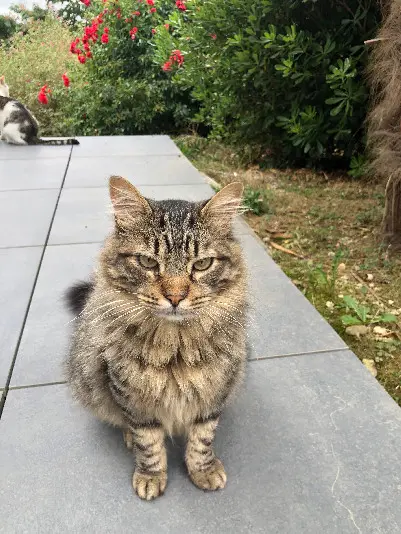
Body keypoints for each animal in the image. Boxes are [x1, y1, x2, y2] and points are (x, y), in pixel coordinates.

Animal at [65, 178, 247, 500]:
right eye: (147, 262)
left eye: (202, 264)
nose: (175, 297)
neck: (176, 346)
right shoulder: (131, 395)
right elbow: (148, 441)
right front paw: (151, 476)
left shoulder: (216, 389)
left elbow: (203, 438)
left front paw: (203, 470)